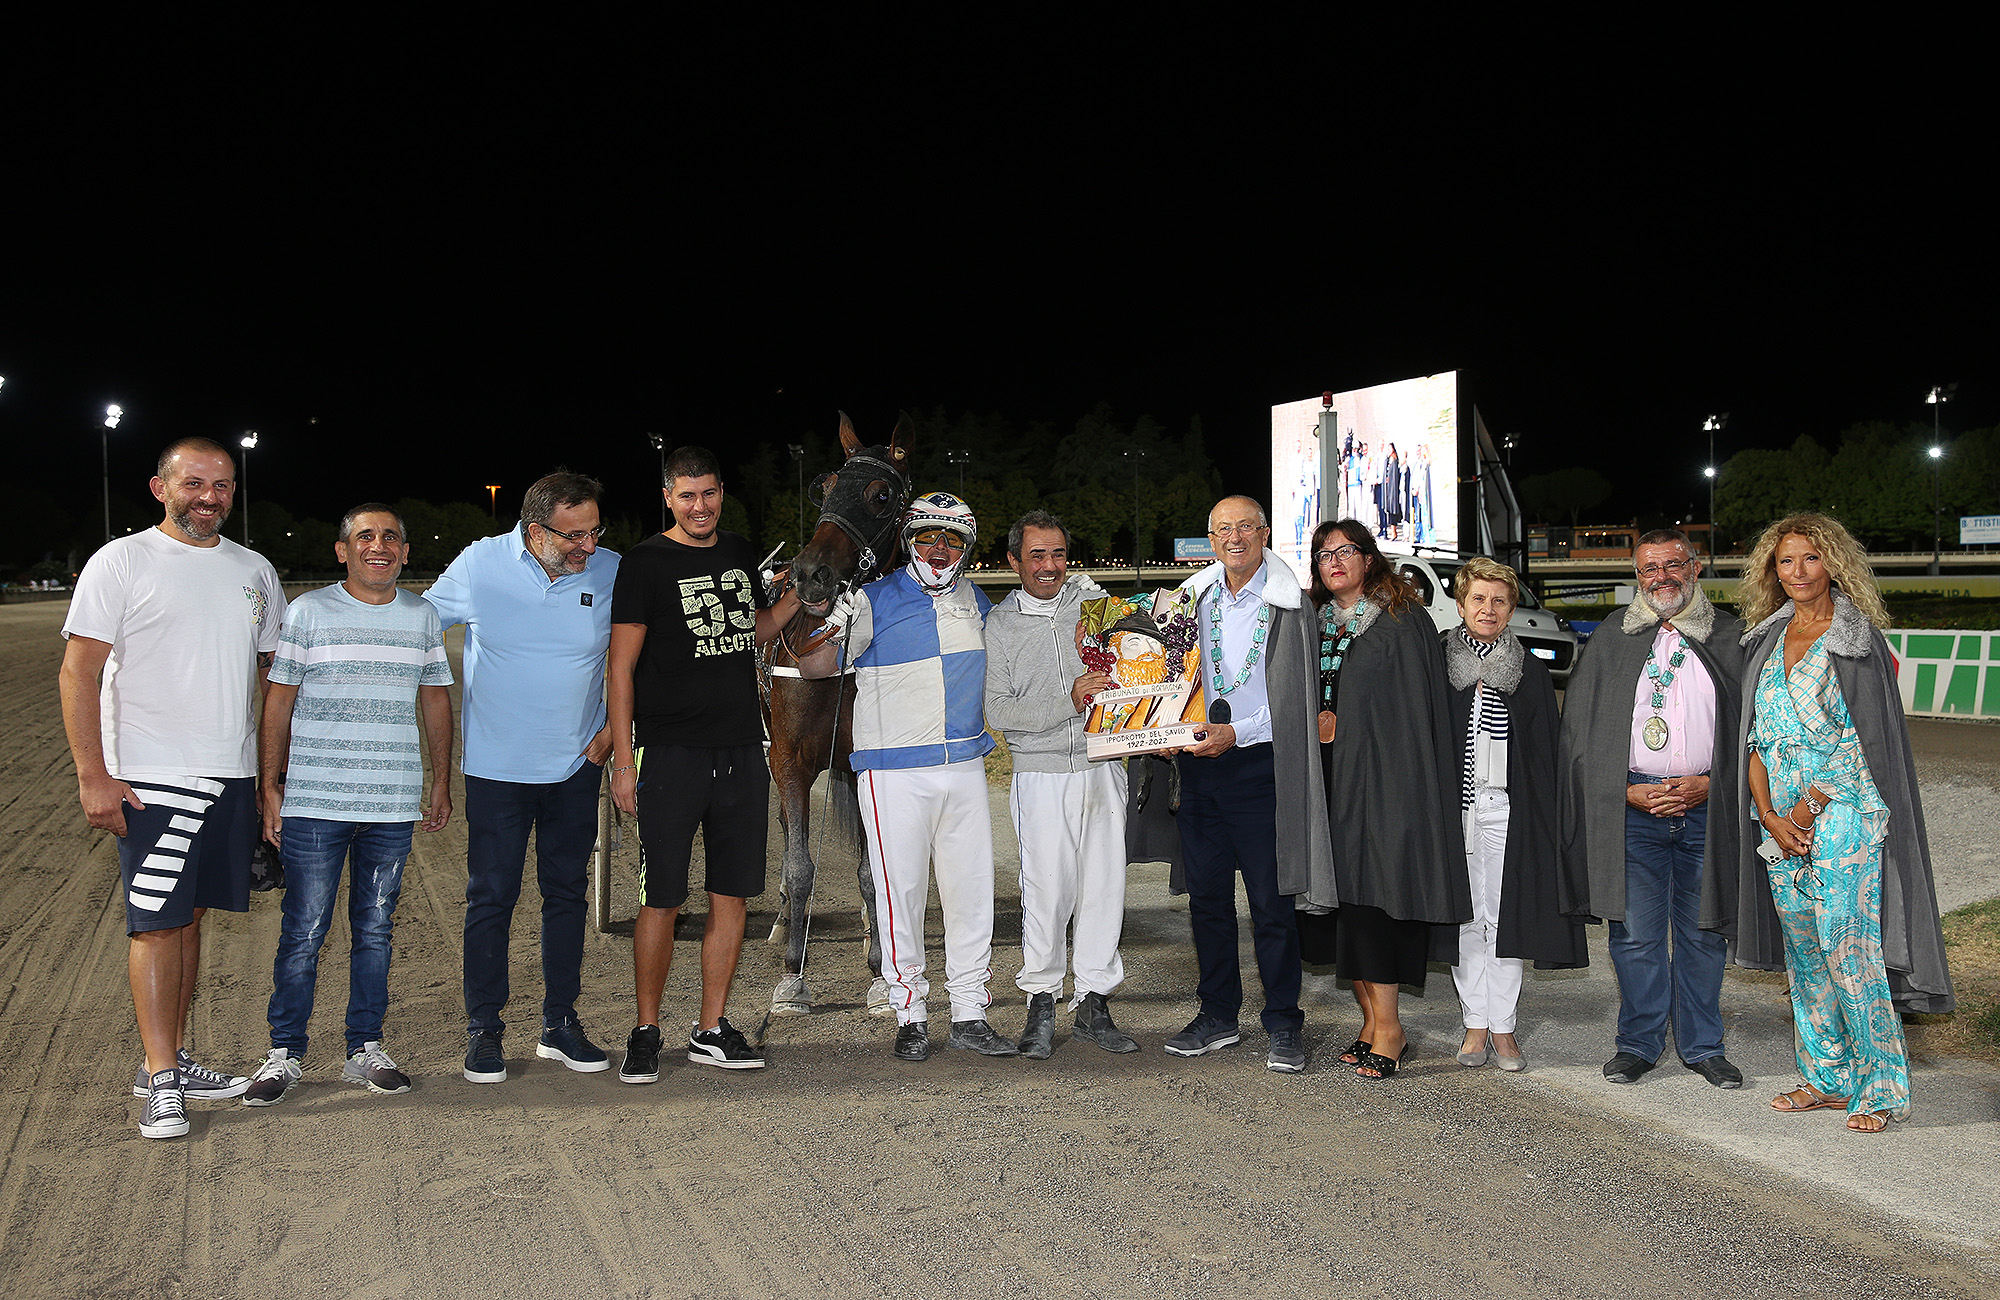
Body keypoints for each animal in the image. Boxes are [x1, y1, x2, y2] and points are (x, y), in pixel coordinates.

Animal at [756, 408, 916, 1024]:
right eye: (821, 487)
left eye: (879, 495)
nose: (810, 574)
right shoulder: (790, 760)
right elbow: (799, 865)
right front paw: (791, 978)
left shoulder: (860, 760)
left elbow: (874, 871)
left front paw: (879, 977)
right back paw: (783, 922)